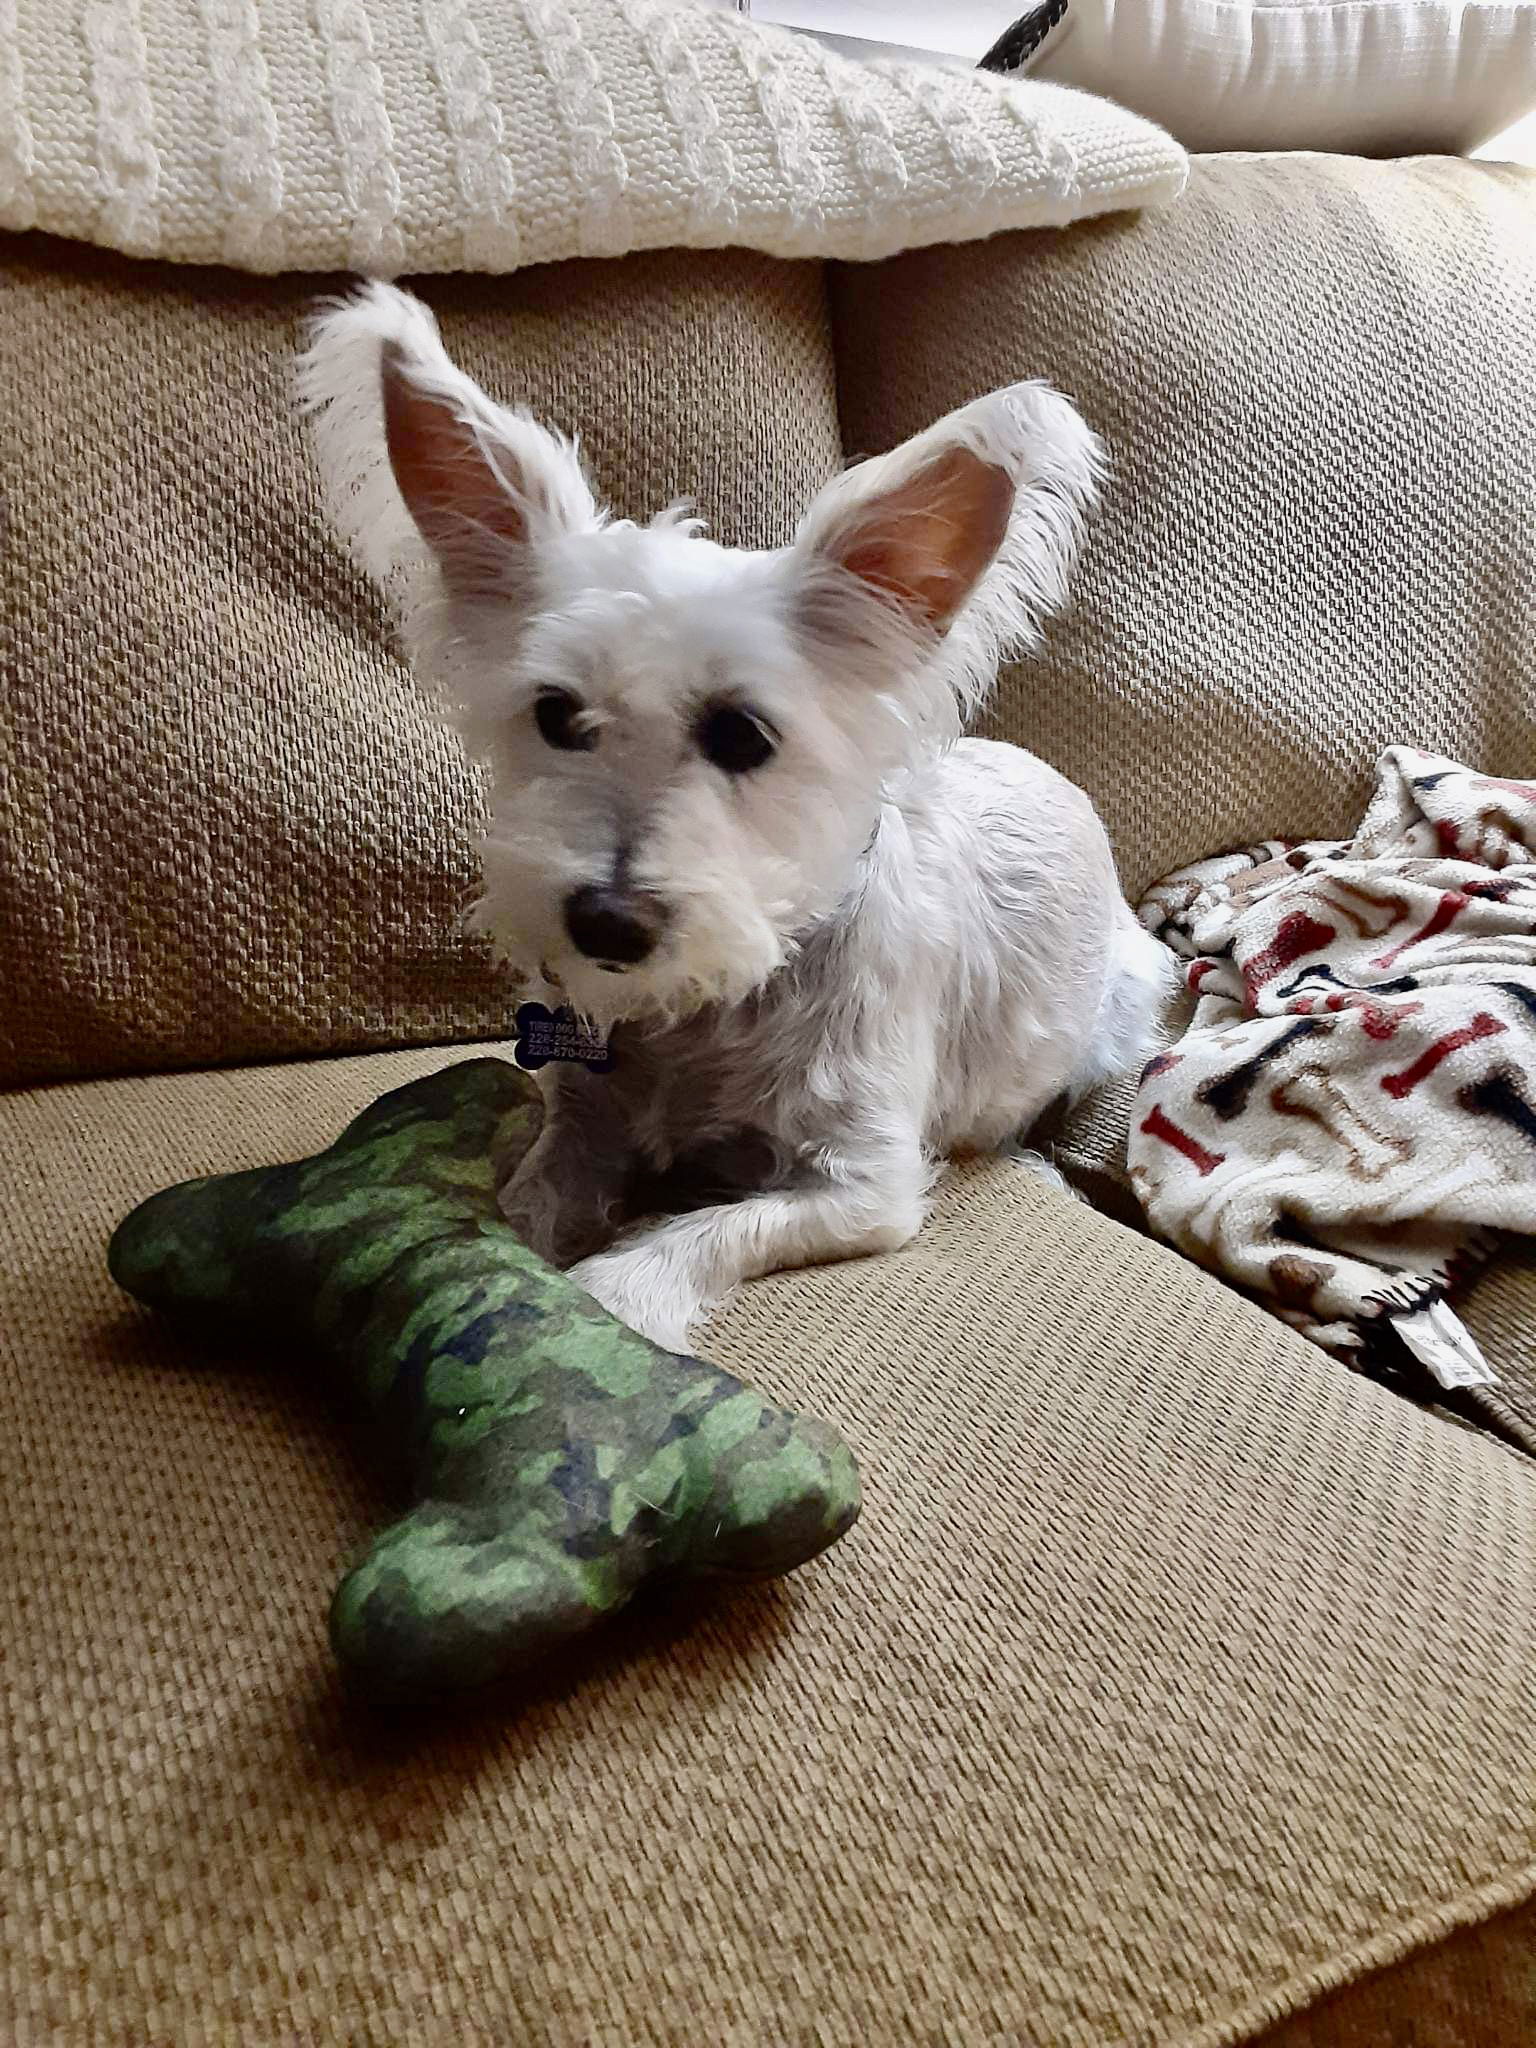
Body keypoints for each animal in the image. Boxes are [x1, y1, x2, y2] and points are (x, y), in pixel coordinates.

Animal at [301, 284, 1163, 1343]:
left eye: (744, 734)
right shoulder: (584, 1114)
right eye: (556, 714)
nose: (606, 923)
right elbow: (534, 1191)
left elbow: (702, 1233)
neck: (710, 1007)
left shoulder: (861, 1184)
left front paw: (603, 1300)